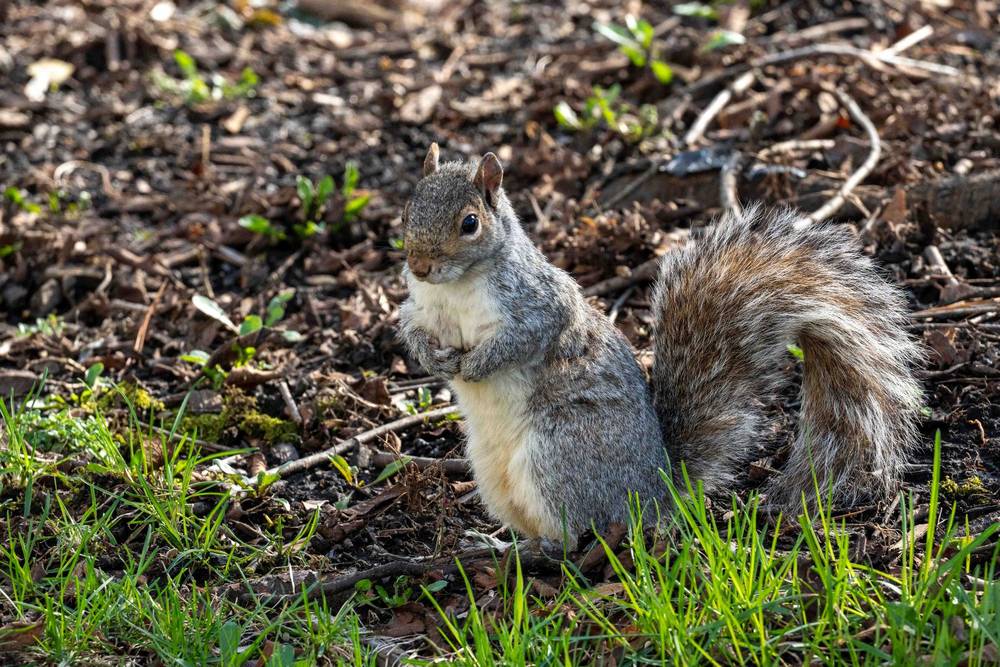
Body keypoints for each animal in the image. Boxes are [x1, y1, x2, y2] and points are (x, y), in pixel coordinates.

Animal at [397, 143, 922, 541]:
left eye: (470, 223)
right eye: (408, 210)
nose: (419, 266)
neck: (457, 288)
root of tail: (656, 489)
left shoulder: (540, 305)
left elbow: (525, 337)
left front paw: (477, 365)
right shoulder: (418, 306)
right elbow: (410, 329)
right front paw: (431, 357)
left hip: (559, 455)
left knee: (580, 533)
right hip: (489, 470)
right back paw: (497, 542)